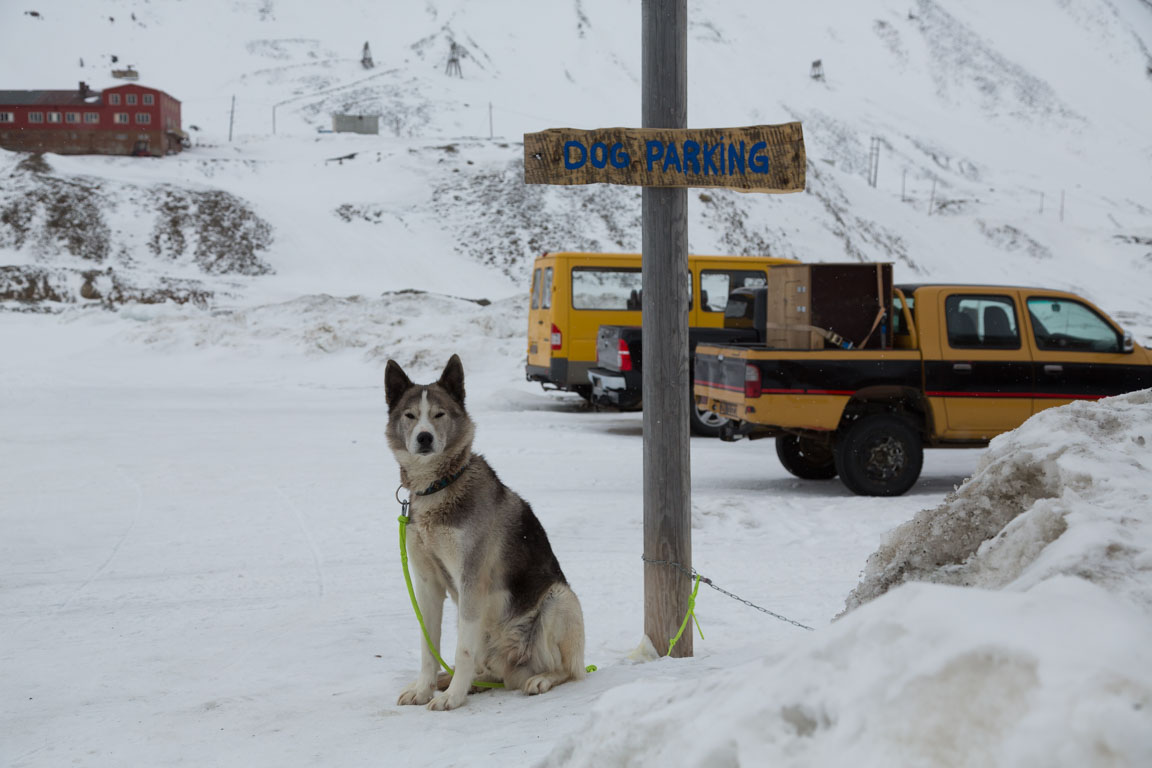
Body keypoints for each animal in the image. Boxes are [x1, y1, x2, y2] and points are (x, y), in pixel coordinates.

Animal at [387, 356, 589, 713]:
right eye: (409, 416)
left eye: (439, 414)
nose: (424, 437)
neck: (441, 487)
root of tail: (512, 668)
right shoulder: (427, 584)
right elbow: (428, 646)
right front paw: (425, 689)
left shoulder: (471, 580)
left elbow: (461, 650)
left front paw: (453, 697)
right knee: (485, 669)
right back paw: (464, 681)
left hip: (560, 600)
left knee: (567, 670)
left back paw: (537, 679)